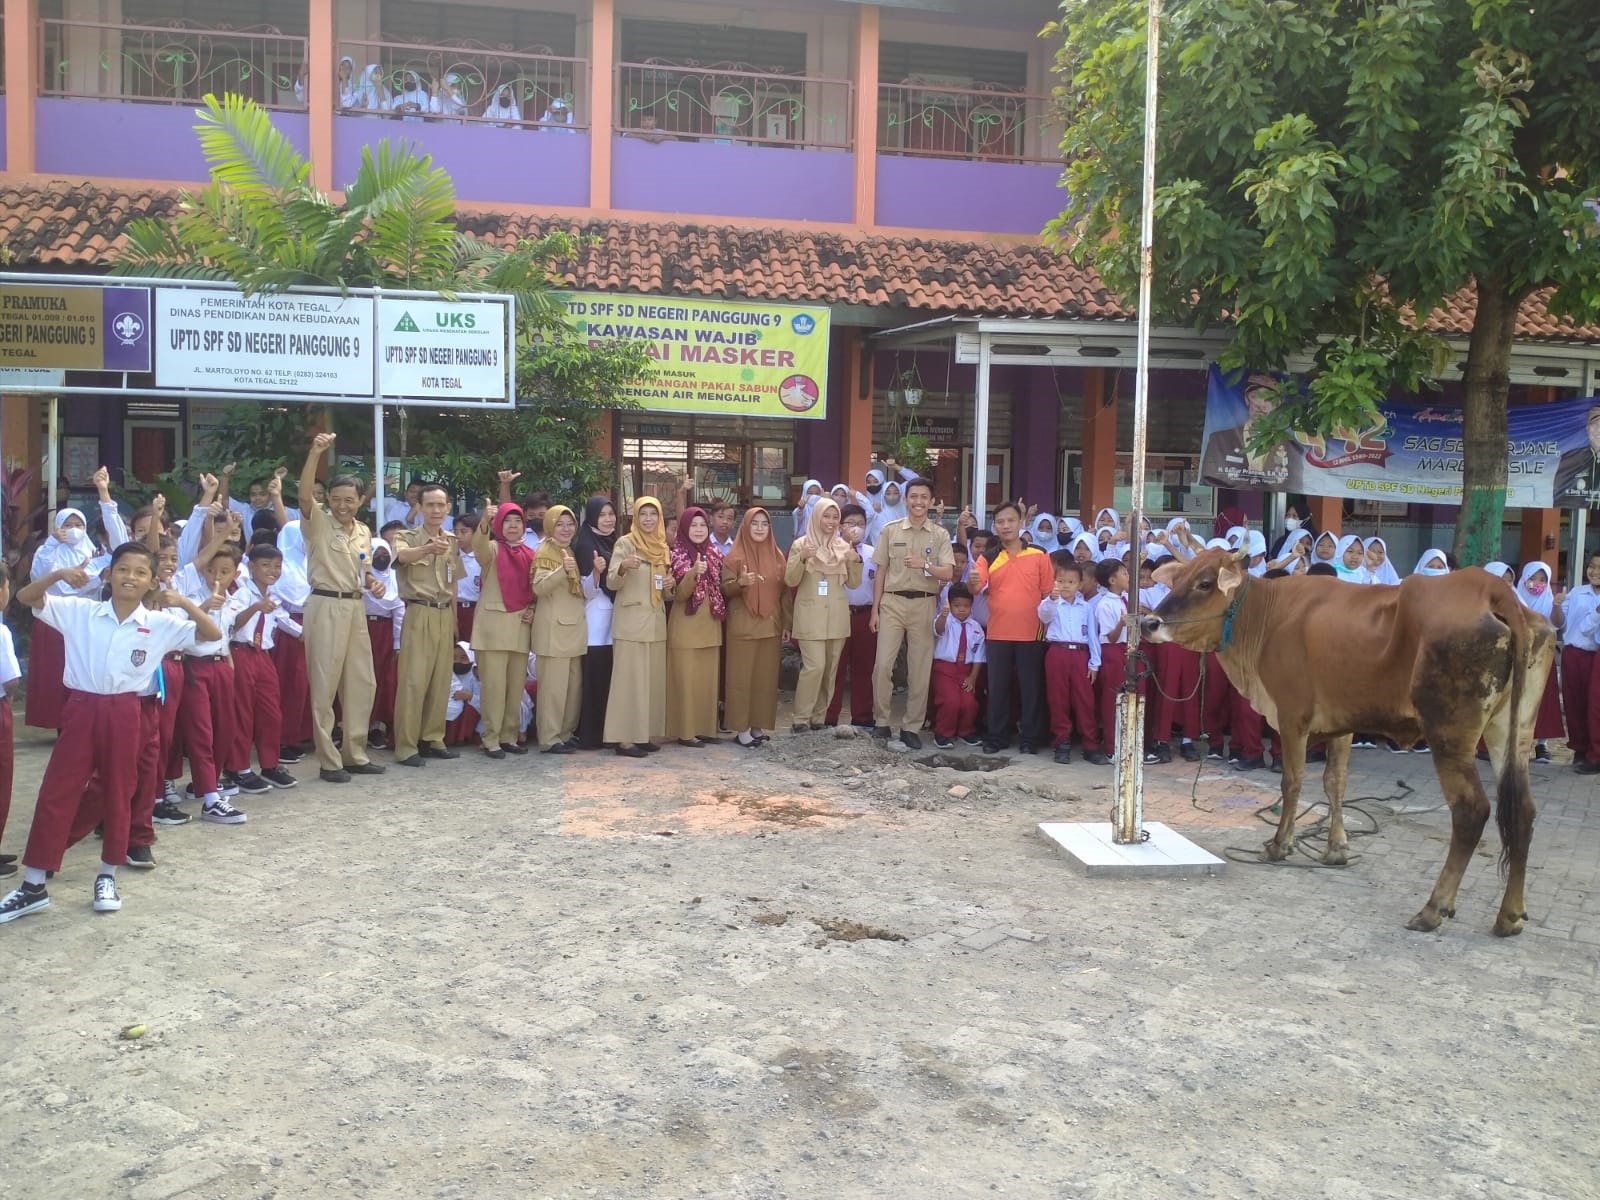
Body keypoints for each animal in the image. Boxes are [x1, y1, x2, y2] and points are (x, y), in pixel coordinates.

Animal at [1145, 553, 1555, 940]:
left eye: (1204, 583)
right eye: (1178, 579)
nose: (1150, 622)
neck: (1267, 615)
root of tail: (1491, 588)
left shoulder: (1292, 716)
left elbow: (1292, 783)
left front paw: (1280, 845)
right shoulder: (1341, 725)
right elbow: (1335, 784)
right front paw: (1336, 850)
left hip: (1449, 733)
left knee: (1471, 811)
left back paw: (1432, 909)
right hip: (1512, 730)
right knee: (1523, 810)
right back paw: (1509, 915)